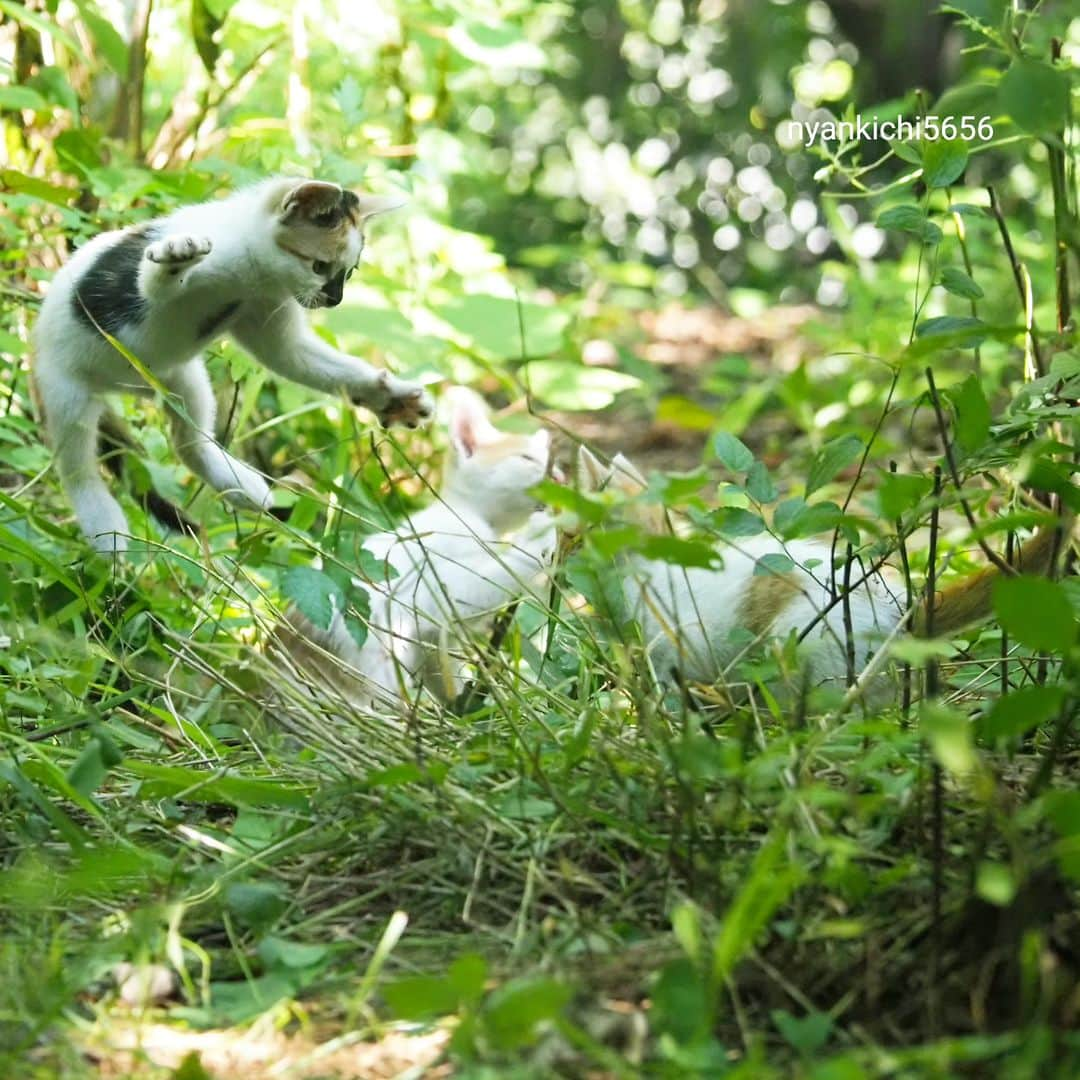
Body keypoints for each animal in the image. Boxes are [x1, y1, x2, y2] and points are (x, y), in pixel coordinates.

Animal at [32, 178, 434, 552]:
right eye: (320, 266)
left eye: (348, 273)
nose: (335, 299)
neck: (250, 273)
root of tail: (115, 387)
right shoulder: (166, 279)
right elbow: (154, 284)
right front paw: (176, 255)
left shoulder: (265, 310)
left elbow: (294, 357)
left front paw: (391, 397)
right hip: (67, 391)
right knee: (77, 467)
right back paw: (103, 524)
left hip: (179, 378)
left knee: (189, 441)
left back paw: (238, 483)